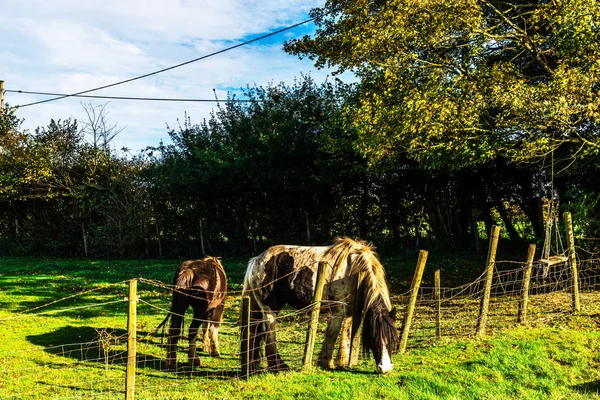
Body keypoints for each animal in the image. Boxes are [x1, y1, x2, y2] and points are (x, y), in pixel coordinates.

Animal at [239, 236, 398, 374]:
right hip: (269, 309)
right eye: (374, 337)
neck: (354, 270)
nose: (385, 368)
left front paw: (343, 361)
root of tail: (256, 260)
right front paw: (326, 363)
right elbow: (332, 334)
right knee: (269, 334)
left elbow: (346, 335)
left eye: (392, 338)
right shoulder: (338, 311)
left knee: (255, 333)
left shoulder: (350, 312)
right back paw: (278, 366)